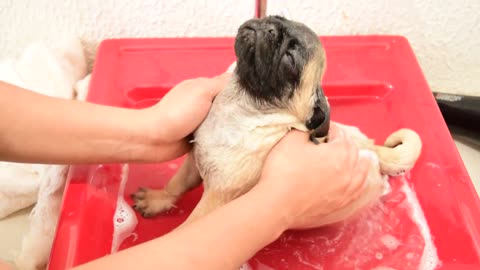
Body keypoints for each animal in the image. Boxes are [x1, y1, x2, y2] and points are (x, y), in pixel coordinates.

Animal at [131, 16, 420, 226]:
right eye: (275, 18)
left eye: (289, 59)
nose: (269, 27)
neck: (241, 107)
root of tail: (374, 150)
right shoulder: (193, 162)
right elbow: (176, 185)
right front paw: (158, 199)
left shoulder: (216, 200)